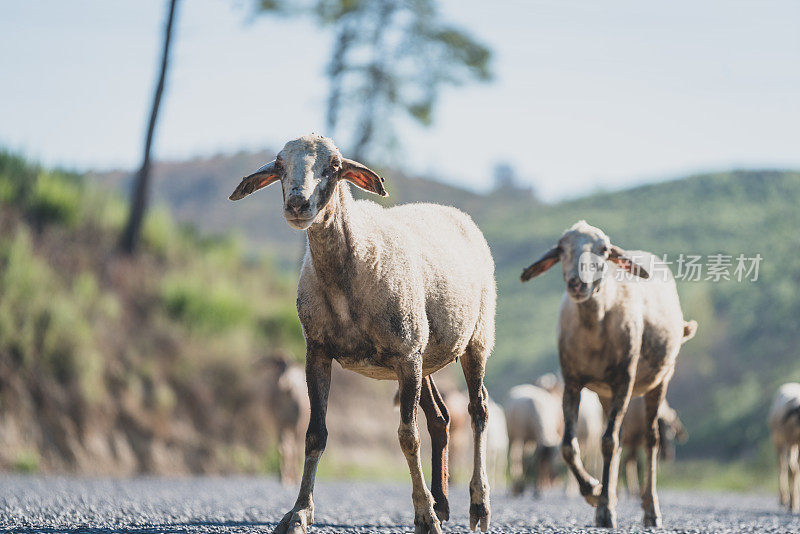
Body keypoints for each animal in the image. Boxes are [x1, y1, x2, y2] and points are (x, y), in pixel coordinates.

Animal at [228, 135, 496, 534]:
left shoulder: (405, 354)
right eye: (278, 165)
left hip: (474, 338)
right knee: (441, 418)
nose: (297, 204)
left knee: (478, 410)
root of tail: (453, 212)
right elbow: (315, 434)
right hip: (426, 354)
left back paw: (477, 504)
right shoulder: (318, 352)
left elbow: (408, 437)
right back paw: (442, 501)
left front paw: (424, 515)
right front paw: (299, 512)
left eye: (335, 166)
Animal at [520, 223, 696, 532]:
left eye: (603, 250)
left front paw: (603, 507)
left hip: (660, 379)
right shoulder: (572, 382)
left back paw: (651, 510)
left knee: (649, 440)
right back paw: (608, 496)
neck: (594, 324)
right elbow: (569, 446)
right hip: (604, 394)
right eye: (561, 249)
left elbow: (608, 443)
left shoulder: (624, 380)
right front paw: (593, 491)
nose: (578, 284)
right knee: (619, 437)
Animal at [764, 384, 800, 512]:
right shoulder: (789, 441)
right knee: (782, 466)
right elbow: (792, 468)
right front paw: (793, 504)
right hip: (778, 442)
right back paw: (783, 499)